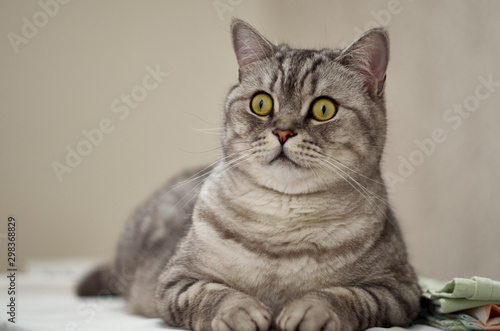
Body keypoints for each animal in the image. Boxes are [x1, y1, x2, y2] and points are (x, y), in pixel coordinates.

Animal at [78, 18, 422, 331]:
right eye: (261, 103)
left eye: (324, 109)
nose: (283, 132)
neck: (283, 228)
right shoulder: (176, 279)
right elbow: (213, 294)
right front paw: (240, 311)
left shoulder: (399, 290)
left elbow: (345, 296)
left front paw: (311, 310)